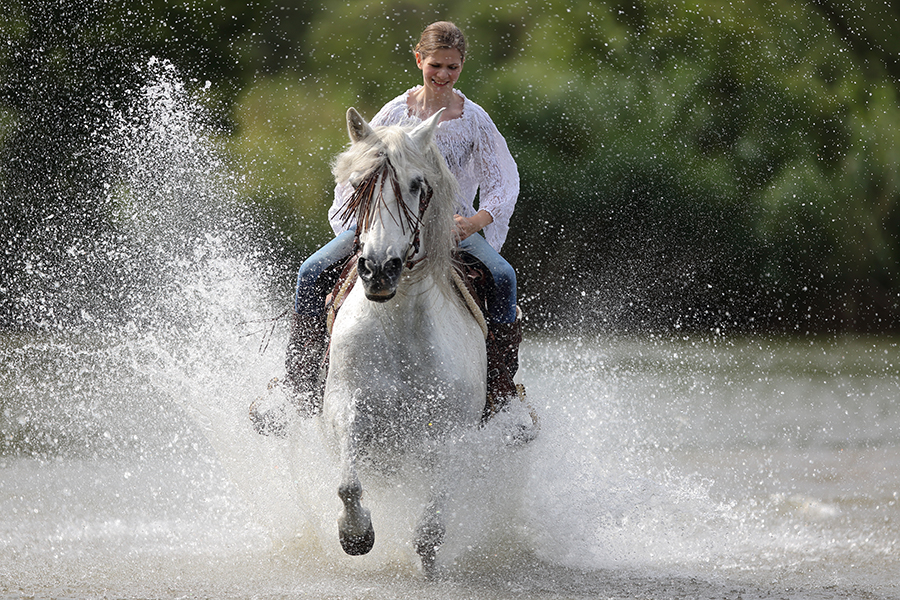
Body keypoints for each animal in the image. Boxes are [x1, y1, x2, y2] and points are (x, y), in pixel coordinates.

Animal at [324, 106, 488, 572]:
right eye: (358, 185)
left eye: (417, 185)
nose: (380, 269)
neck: (400, 329)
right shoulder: (345, 405)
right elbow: (348, 483)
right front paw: (356, 535)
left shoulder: (452, 432)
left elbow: (435, 511)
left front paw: (428, 556)